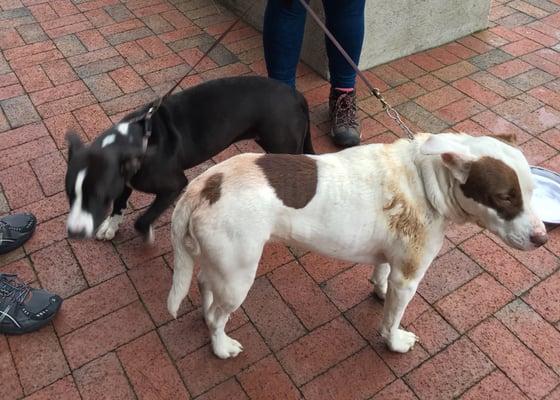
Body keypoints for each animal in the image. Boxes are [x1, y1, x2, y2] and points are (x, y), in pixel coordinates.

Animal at [64, 77, 316, 242]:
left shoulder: (174, 186)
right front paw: (111, 226)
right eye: (70, 194)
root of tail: (297, 95)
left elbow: (143, 220)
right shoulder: (125, 178)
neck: (137, 138)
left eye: (98, 196)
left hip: (283, 144)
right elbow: (119, 203)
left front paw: (146, 235)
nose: (74, 232)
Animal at [165, 133, 548, 358]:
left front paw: (379, 291)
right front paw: (394, 342)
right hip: (238, 276)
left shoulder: (392, 258)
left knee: (204, 284)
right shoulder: (408, 277)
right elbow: (392, 320)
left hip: (221, 265)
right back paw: (221, 347)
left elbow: (381, 275)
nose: (542, 238)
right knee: (217, 317)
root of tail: (202, 184)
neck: (426, 181)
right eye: (504, 197)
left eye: (531, 191)